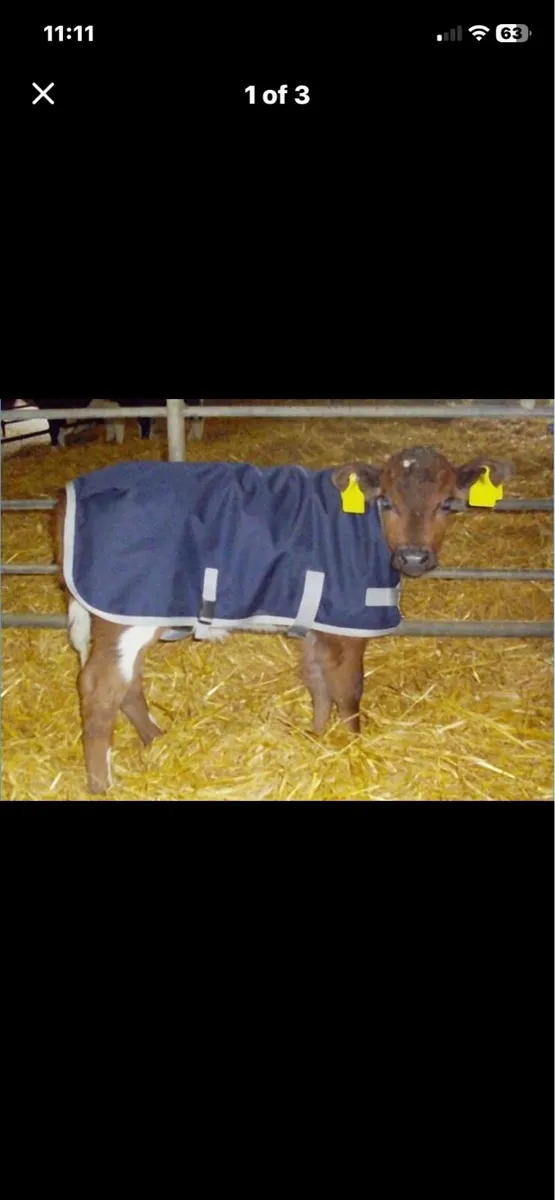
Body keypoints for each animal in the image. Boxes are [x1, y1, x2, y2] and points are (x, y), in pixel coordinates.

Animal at [54, 446, 511, 795]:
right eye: (387, 502)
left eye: (447, 503)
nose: (415, 557)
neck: (362, 529)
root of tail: (72, 490)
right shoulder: (348, 626)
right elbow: (349, 690)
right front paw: (353, 747)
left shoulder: (318, 623)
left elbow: (317, 681)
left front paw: (318, 736)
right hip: (126, 612)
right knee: (100, 688)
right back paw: (101, 785)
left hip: (130, 613)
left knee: (126, 684)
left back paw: (156, 739)